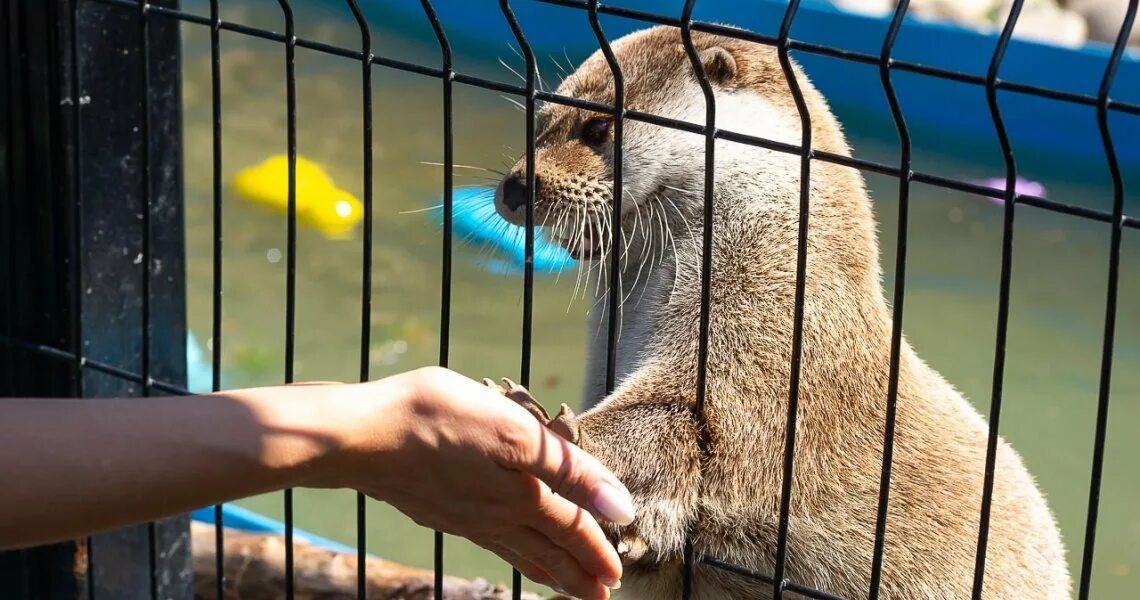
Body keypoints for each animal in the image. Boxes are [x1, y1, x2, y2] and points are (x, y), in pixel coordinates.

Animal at [490, 24, 1067, 600]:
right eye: (538, 124)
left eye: (597, 127)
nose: (516, 186)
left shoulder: (770, 345)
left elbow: (685, 423)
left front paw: (549, 424)